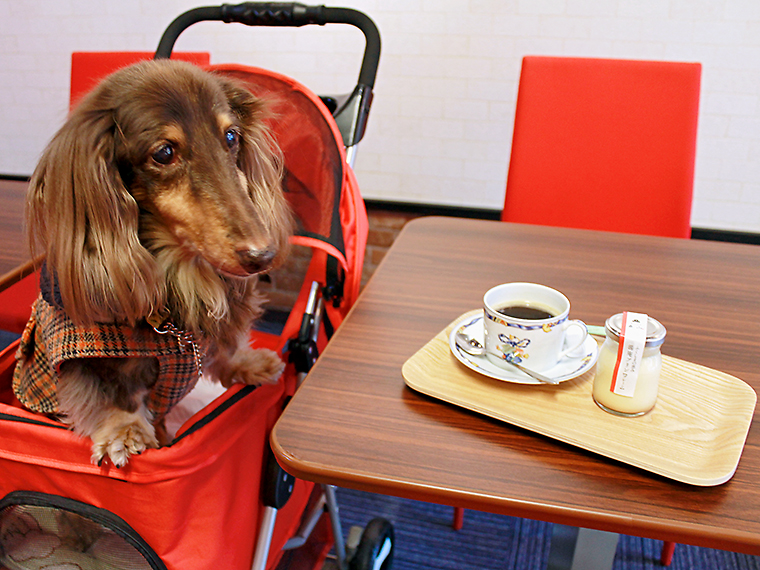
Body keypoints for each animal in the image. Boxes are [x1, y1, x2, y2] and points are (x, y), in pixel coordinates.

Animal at [15, 58, 294, 466]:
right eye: (164, 153)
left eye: (231, 137)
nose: (263, 256)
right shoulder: (84, 362)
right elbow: (105, 395)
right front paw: (124, 430)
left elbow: (223, 348)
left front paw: (247, 363)